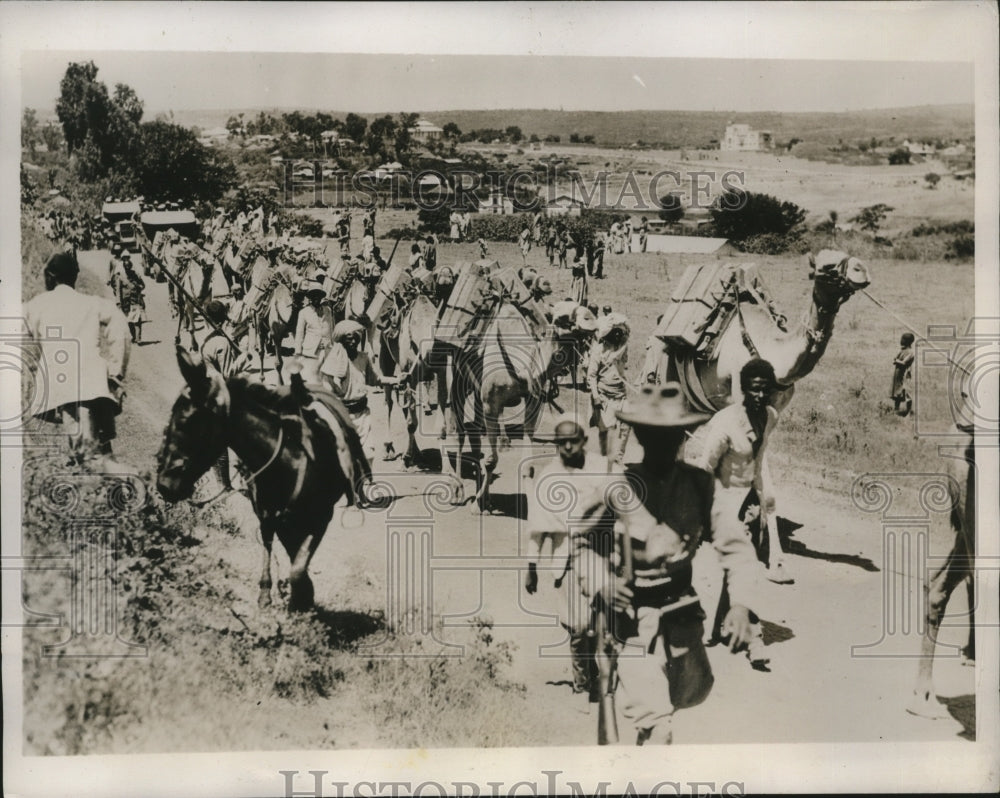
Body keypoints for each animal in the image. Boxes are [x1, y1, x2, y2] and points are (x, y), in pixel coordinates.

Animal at [156, 348, 356, 612]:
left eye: (188, 422)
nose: (165, 485)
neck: (287, 459)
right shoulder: (267, 515)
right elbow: (277, 549)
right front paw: (274, 594)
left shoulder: (321, 518)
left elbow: (298, 566)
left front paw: (301, 598)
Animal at [644, 250, 872, 580]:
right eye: (826, 265)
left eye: (848, 256)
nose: (860, 269)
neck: (773, 357)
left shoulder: (770, 416)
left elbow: (765, 489)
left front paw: (770, 553)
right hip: (665, 379)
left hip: (698, 402)